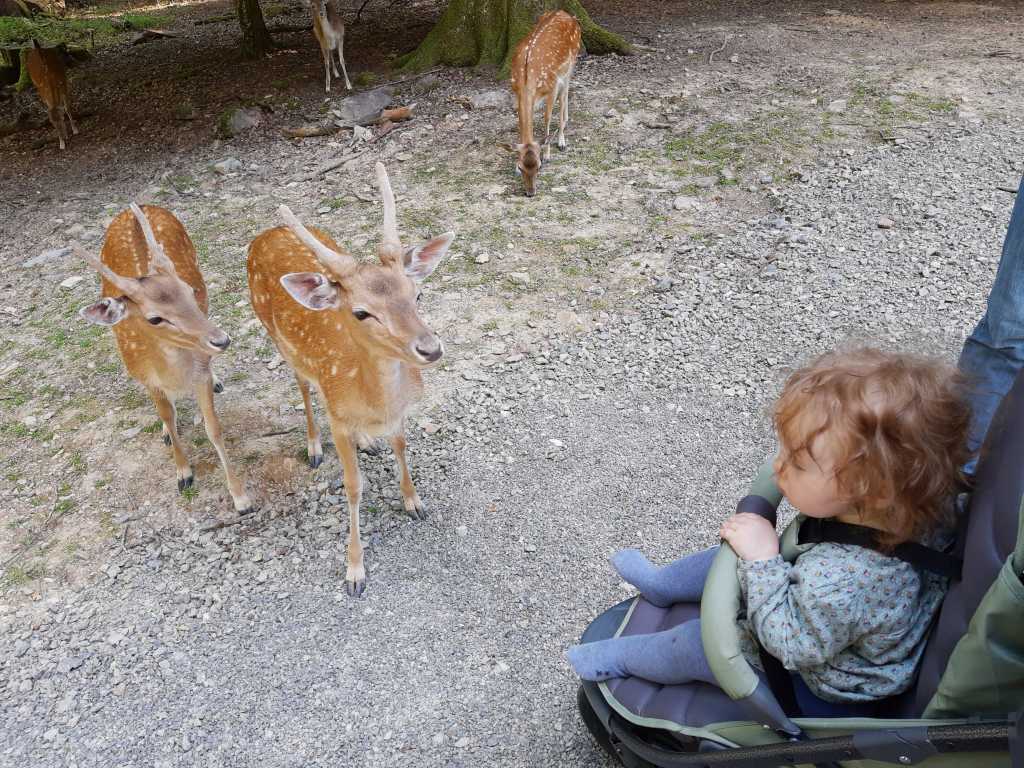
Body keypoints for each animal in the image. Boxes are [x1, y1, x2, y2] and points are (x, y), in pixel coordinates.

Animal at [75, 204, 251, 518]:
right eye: (155, 318)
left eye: (189, 291)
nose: (221, 340)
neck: (174, 374)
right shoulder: (146, 379)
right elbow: (167, 415)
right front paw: (183, 473)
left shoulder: (200, 372)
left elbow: (214, 428)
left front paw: (240, 498)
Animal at [245, 162, 454, 598]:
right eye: (361, 312)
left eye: (418, 294)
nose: (430, 349)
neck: (373, 400)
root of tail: (266, 234)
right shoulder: (338, 418)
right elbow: (353, 485)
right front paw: (354, 570)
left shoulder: (399, 413)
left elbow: (401, 446)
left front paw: (413, 501)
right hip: (278, 340)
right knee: (303, 387)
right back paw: (313, 447)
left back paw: (366, 441)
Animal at [501, 10, 581, 196]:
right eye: (521, 167)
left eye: (539, 167)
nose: (530, 193)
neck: (527, 78)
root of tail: (567, 14)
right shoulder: (516, 91)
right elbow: (520, 122)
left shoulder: (551, 87)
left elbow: (547, 117)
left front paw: (548, 153)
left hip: (571, 64)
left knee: (565, 92)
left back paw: (562, 137)